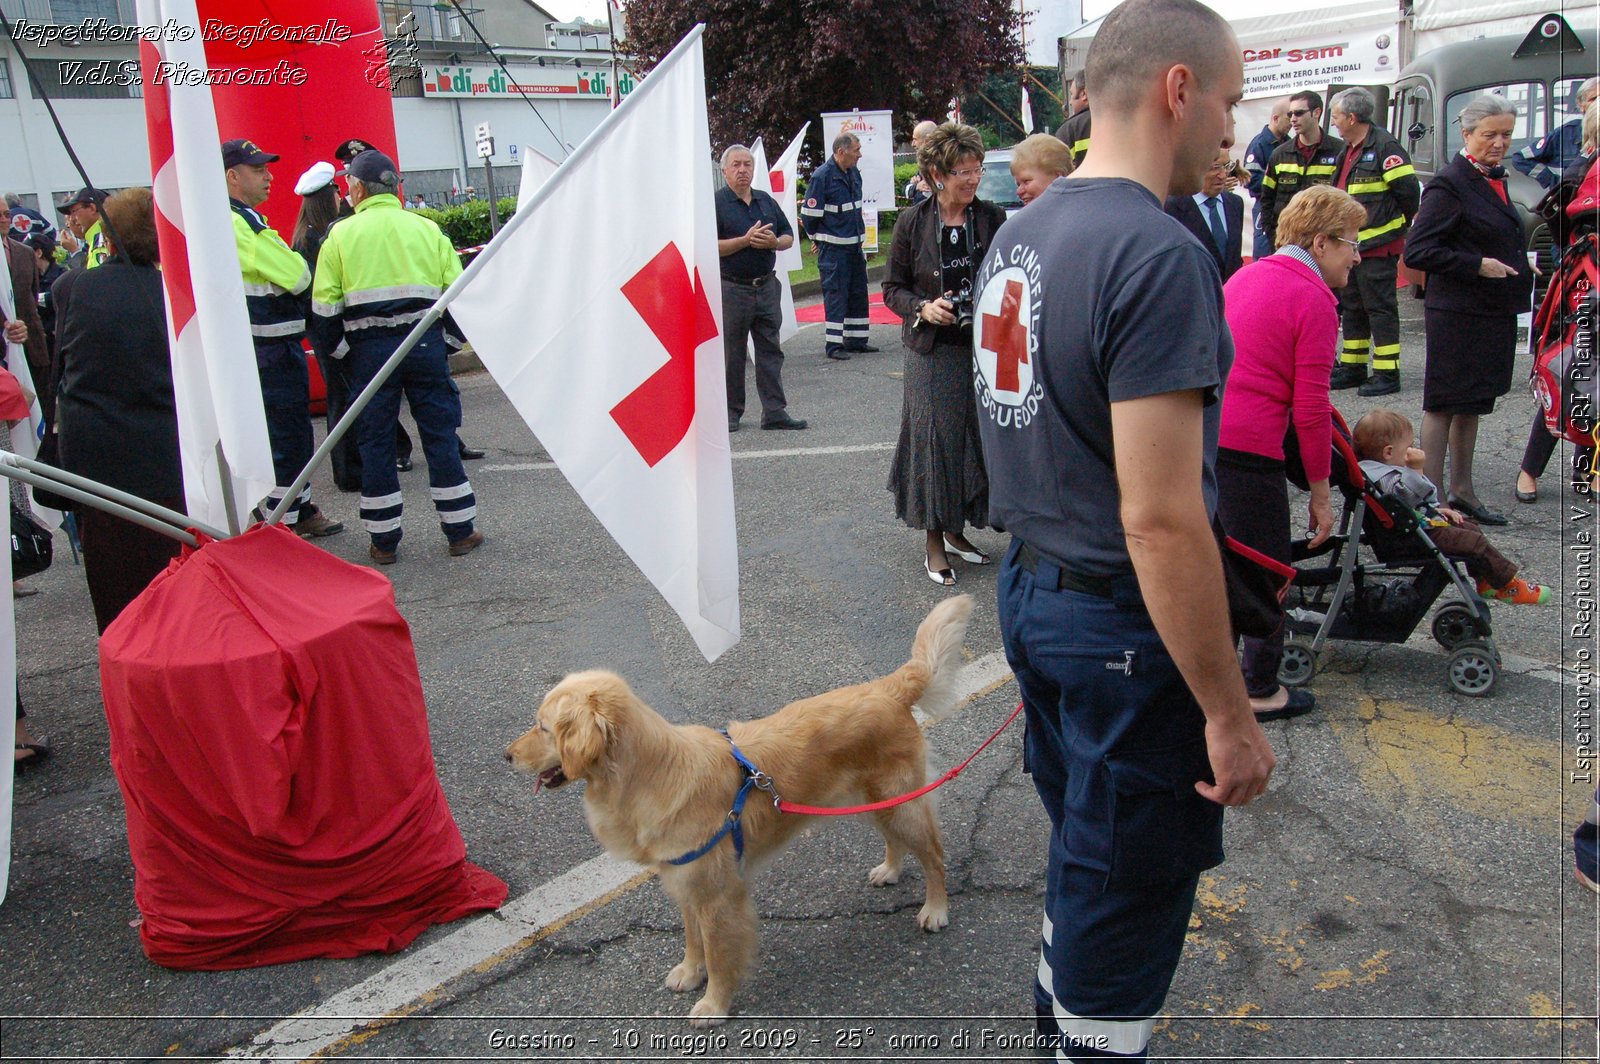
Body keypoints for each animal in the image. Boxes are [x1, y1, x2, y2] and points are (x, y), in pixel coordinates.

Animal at [505, 592, 972, 1024]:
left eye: (543, 727)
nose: (505, 755)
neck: (652, 774)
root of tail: (888, 688)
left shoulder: (718, 895)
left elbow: (718, 954)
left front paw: (714, 1003)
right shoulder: (685, 881)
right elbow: (692, 938)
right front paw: (690, 971)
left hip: (900, 804)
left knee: (934, 855)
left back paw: (935, 909)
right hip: (879, 802)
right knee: (897, 840)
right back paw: (890, 870)